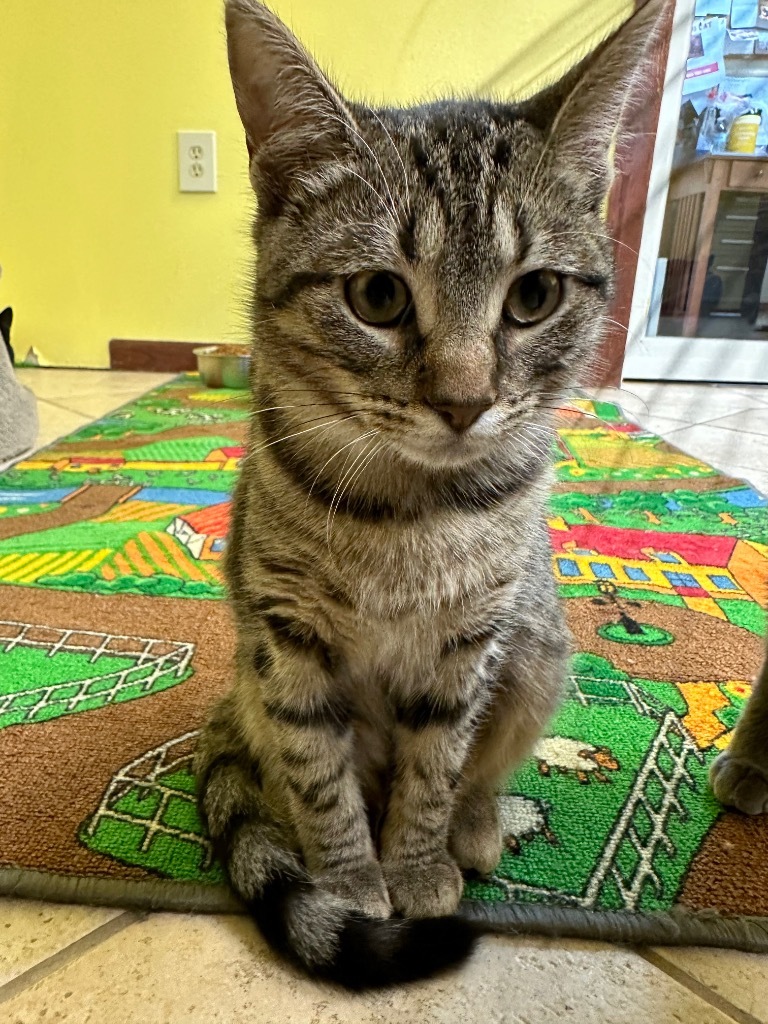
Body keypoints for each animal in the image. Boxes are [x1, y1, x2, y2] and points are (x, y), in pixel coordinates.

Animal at [196, 0, 667, 987]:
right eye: (377, 295)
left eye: (534, 295)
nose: (463, 400)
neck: (410, 511)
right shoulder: (287, 639)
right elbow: (318, 772)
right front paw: (347, 882)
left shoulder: (470, 643)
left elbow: (437, 766)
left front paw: (416, 864)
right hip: (254, 678)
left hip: (537, 651)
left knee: (485, 769)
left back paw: (477, 829)